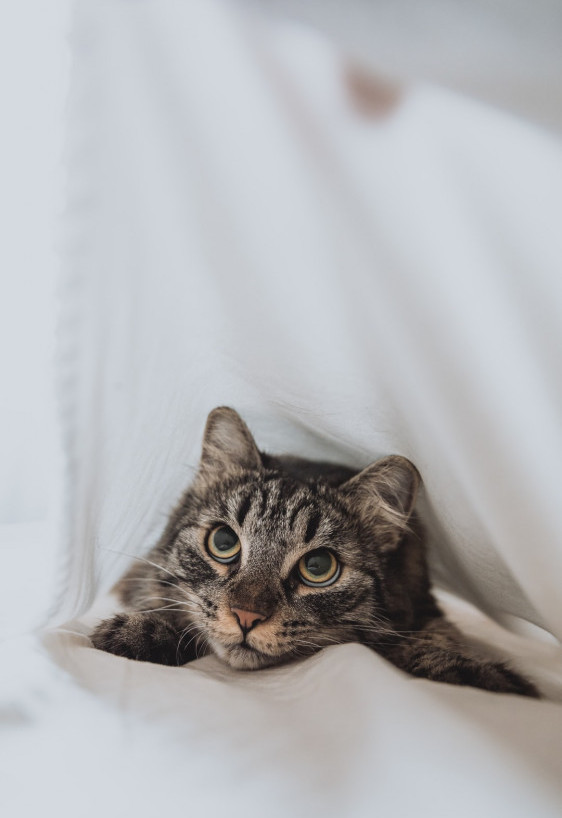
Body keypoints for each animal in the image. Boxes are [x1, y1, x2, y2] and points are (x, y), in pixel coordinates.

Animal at [92, 404, 540, 692]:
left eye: (319, 567)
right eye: (223, 543)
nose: (246, 617)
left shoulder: (427, 610)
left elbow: (435, 642)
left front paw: (471, 674)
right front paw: (140, 630)